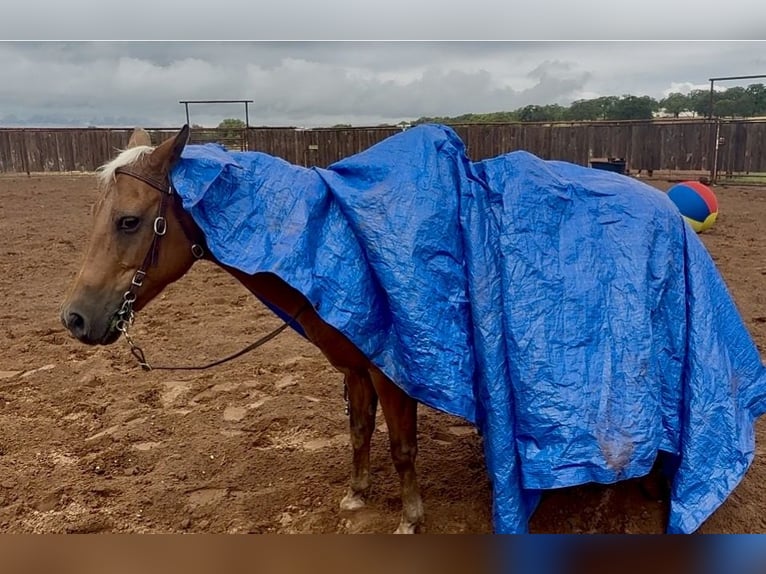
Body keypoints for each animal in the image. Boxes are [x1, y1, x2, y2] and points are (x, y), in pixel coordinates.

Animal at [60, 126, 424, 534]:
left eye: (128, 221)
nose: (73, 318)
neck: (330, 253)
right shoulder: (356, 369)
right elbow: (360, 429)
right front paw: (357, 494)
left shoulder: (391, 374)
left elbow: (402, 447)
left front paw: (410, 519)